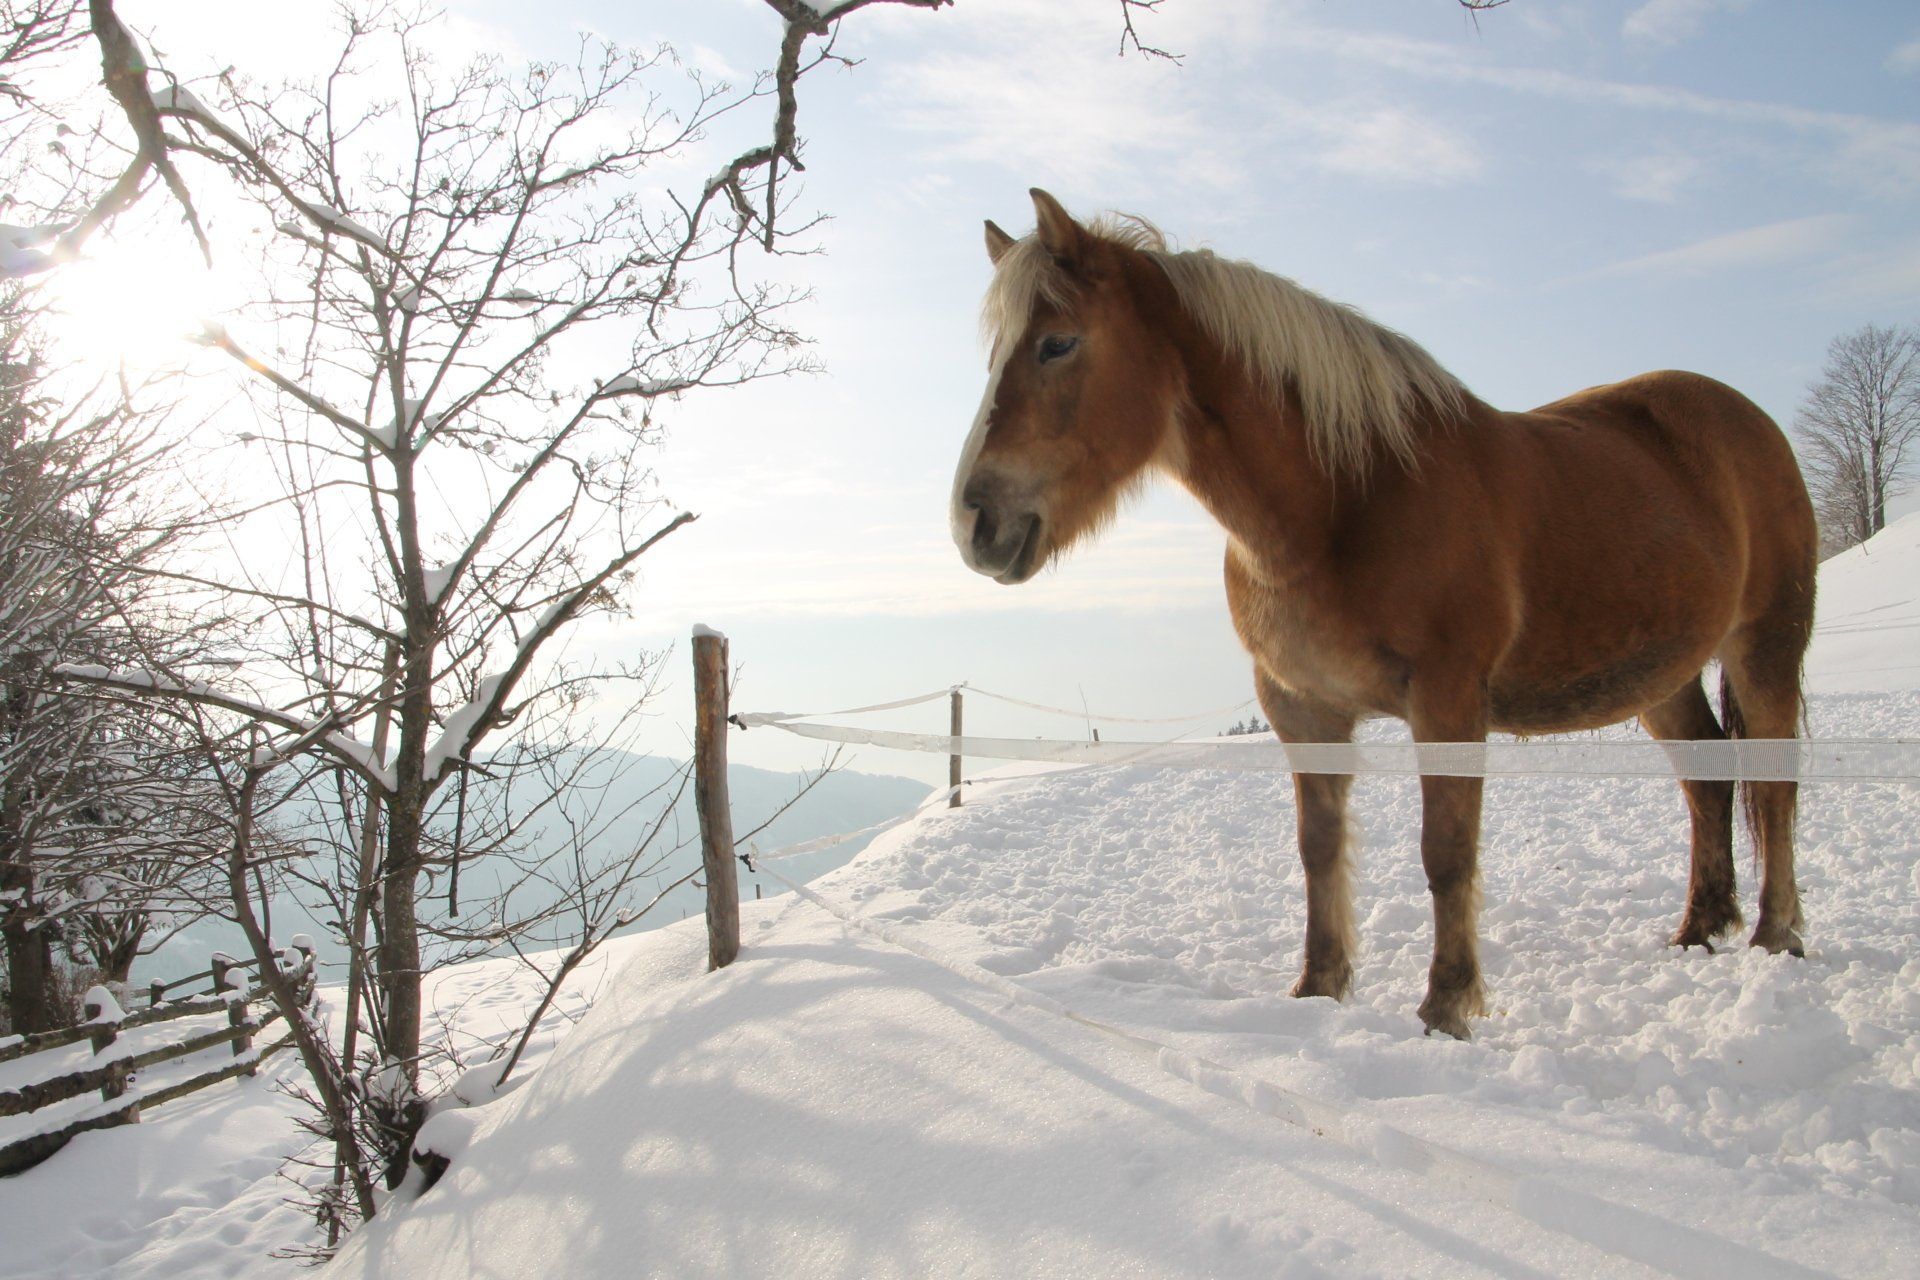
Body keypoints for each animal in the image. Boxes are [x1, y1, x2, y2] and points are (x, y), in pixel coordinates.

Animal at [949, 189, 1817, 1040]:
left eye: (1057, 344)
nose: (973, 525)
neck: (1345, 500)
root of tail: (1748, 420)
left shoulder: (1447, 700)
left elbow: (1446, 851)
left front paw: (1447, 1006)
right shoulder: (1302, 709)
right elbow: (1319, 849)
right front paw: (1318, 988)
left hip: (1765, 645)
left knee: (1774, 785)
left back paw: (1778, 936)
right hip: (1661, 676)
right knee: (1707, 779)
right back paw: (1701, 927)